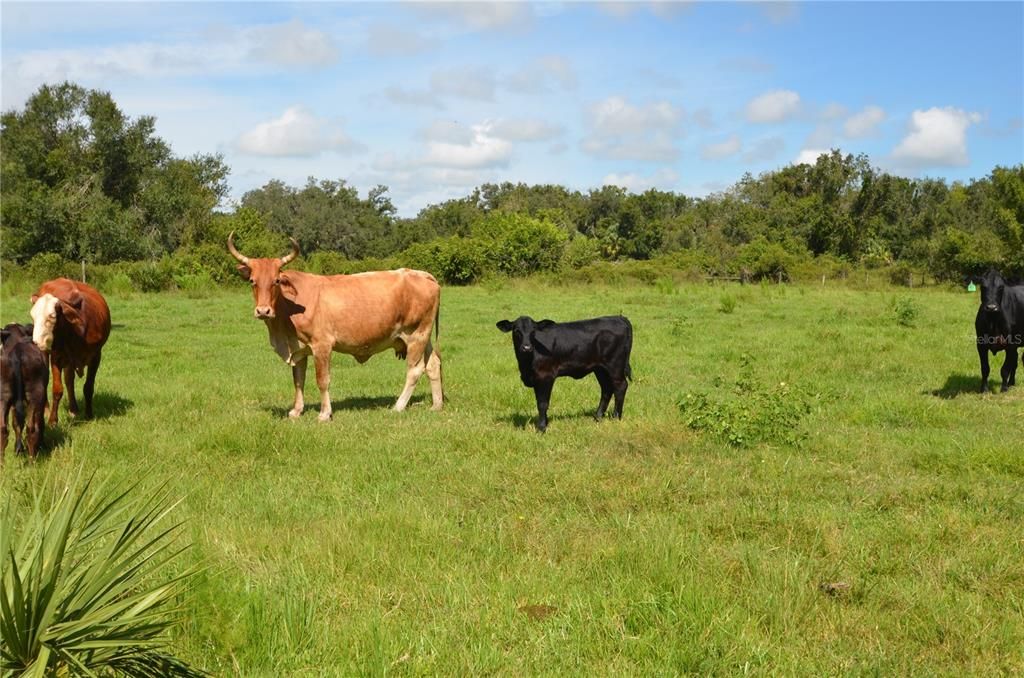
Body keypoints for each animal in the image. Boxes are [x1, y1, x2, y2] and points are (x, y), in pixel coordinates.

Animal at [1, 323, 48, 462]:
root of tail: (17, 353)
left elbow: (15, 422)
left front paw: (18, 449)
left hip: (4, 394)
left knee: (3, 429)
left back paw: (2, 463)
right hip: (36, 394)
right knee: (31, 428)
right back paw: (33, 460)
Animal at [30, 278, 111, 426]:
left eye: (52, 317)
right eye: (33, 317)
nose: (36, 342)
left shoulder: (96, 356)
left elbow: (88, 386)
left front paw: (89, 414)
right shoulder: (56, 356)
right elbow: (57, 390)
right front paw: (53, 420)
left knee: (69, 379)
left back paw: (73, 409)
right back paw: (46, 409)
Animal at [228, 233, 444, 419]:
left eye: (276, 281)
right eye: (252, 281)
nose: (263, 311)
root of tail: (421, 274)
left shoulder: (322, 345)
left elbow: (322, 380)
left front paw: (325, 413)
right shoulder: (299, 348)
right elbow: (298, 380)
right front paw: (296, 411)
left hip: (416, 335)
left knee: (415, 370)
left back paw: (398, 406)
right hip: (423, 337)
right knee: (433, 364)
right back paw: (436, 405)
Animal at [495, 315, 630, 432]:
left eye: (533, 331)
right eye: (516, 331)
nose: (526, 347)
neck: (526, 363)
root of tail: (618, 317)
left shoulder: (546, 376)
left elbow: (542, 403)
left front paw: (541, 427)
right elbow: (539, 400)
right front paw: (545, 422)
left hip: (615, 365)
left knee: (620, 386)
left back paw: (616, 417)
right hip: (600, 369)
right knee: (606, 389)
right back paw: (597, 417)